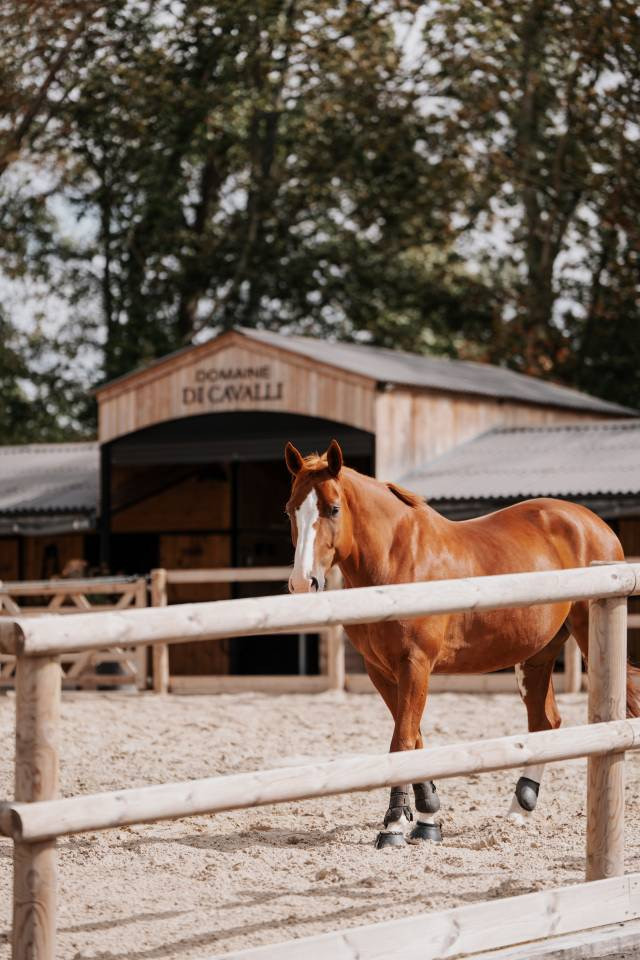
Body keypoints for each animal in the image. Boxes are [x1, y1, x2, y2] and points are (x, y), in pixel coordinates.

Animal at [284, 439, 640, 849]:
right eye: (291, 510)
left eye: (334, 508)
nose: (303, 582)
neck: (398, 561)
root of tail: (595, 524)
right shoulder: (382, 671)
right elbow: (414, 738)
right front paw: (427, 816)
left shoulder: (415, 665)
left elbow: (402, 741)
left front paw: (393, 825)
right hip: (536, 655)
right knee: (545, 721)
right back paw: (520, 808)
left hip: (586, 638)